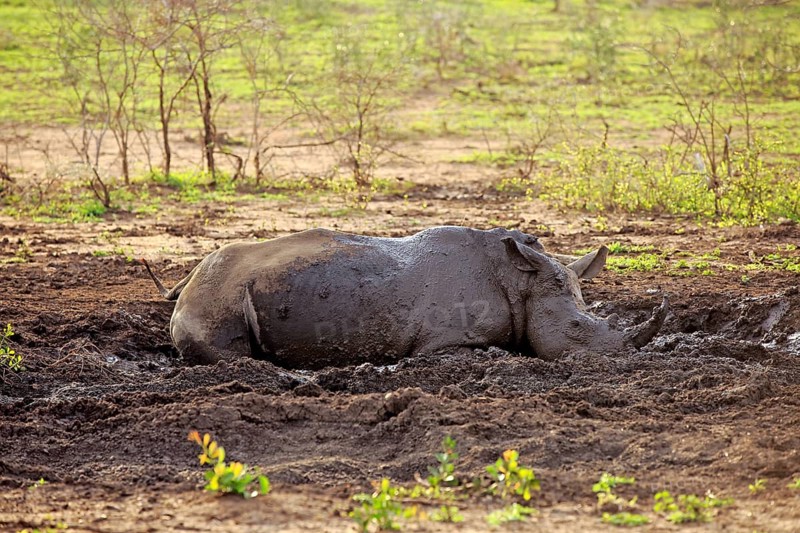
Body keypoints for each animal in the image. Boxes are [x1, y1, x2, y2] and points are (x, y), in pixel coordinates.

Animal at [143, 226, 668, 369]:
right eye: (576, 329)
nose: (617, 360)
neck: (520, 280)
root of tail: (187, 280)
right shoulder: (445, 342)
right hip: (217, 294)